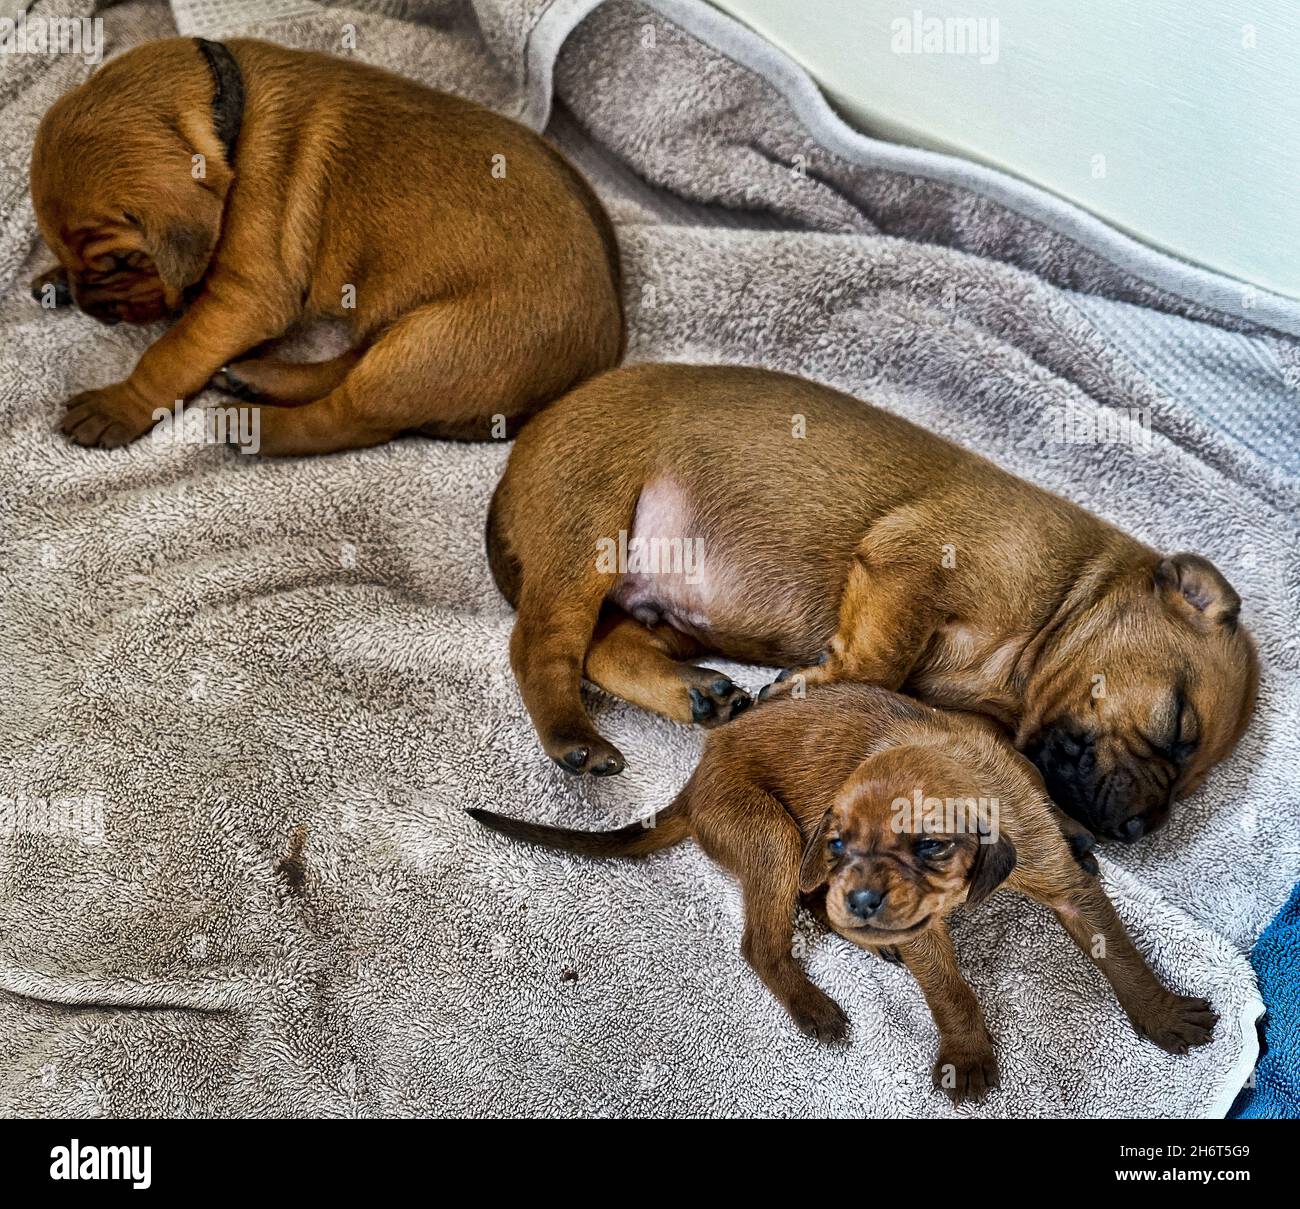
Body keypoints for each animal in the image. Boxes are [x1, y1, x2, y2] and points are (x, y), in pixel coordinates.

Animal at [29, 38, 618, 452]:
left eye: (125, 261)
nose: (96, 310)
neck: (225, 126)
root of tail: (596, 361)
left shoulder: (244, 298)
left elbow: (169, 354)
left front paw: (118, 406)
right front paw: (56, 280)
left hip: (437, 344)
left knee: (346, 419)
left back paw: (255, 427)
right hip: (406, 327)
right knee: (346, 368)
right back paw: (261, 378)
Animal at [470, 676, 1216, 1102]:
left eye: (930, 845)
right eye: (839, 841)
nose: (861, 901)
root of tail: (693, 781)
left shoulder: (1062, 883)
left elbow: (1120, 954)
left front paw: (1160, 1015)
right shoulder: (913, 922)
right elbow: (951, 992)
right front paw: (968, 1056)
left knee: (802, 908)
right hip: (772, 835)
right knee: (764, 942)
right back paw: (813, 1005)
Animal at [488, 364, 1258, 842]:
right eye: (1179, 726)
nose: (1136, 831)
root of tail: (519, 454)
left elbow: (1005, 759)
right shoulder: (909, 566)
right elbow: (878, 661)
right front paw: (813, 687)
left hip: (667, 612)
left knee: (606, 649)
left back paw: (696, 694)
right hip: (592, 526)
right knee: (543, 646)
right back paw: (576, 737)